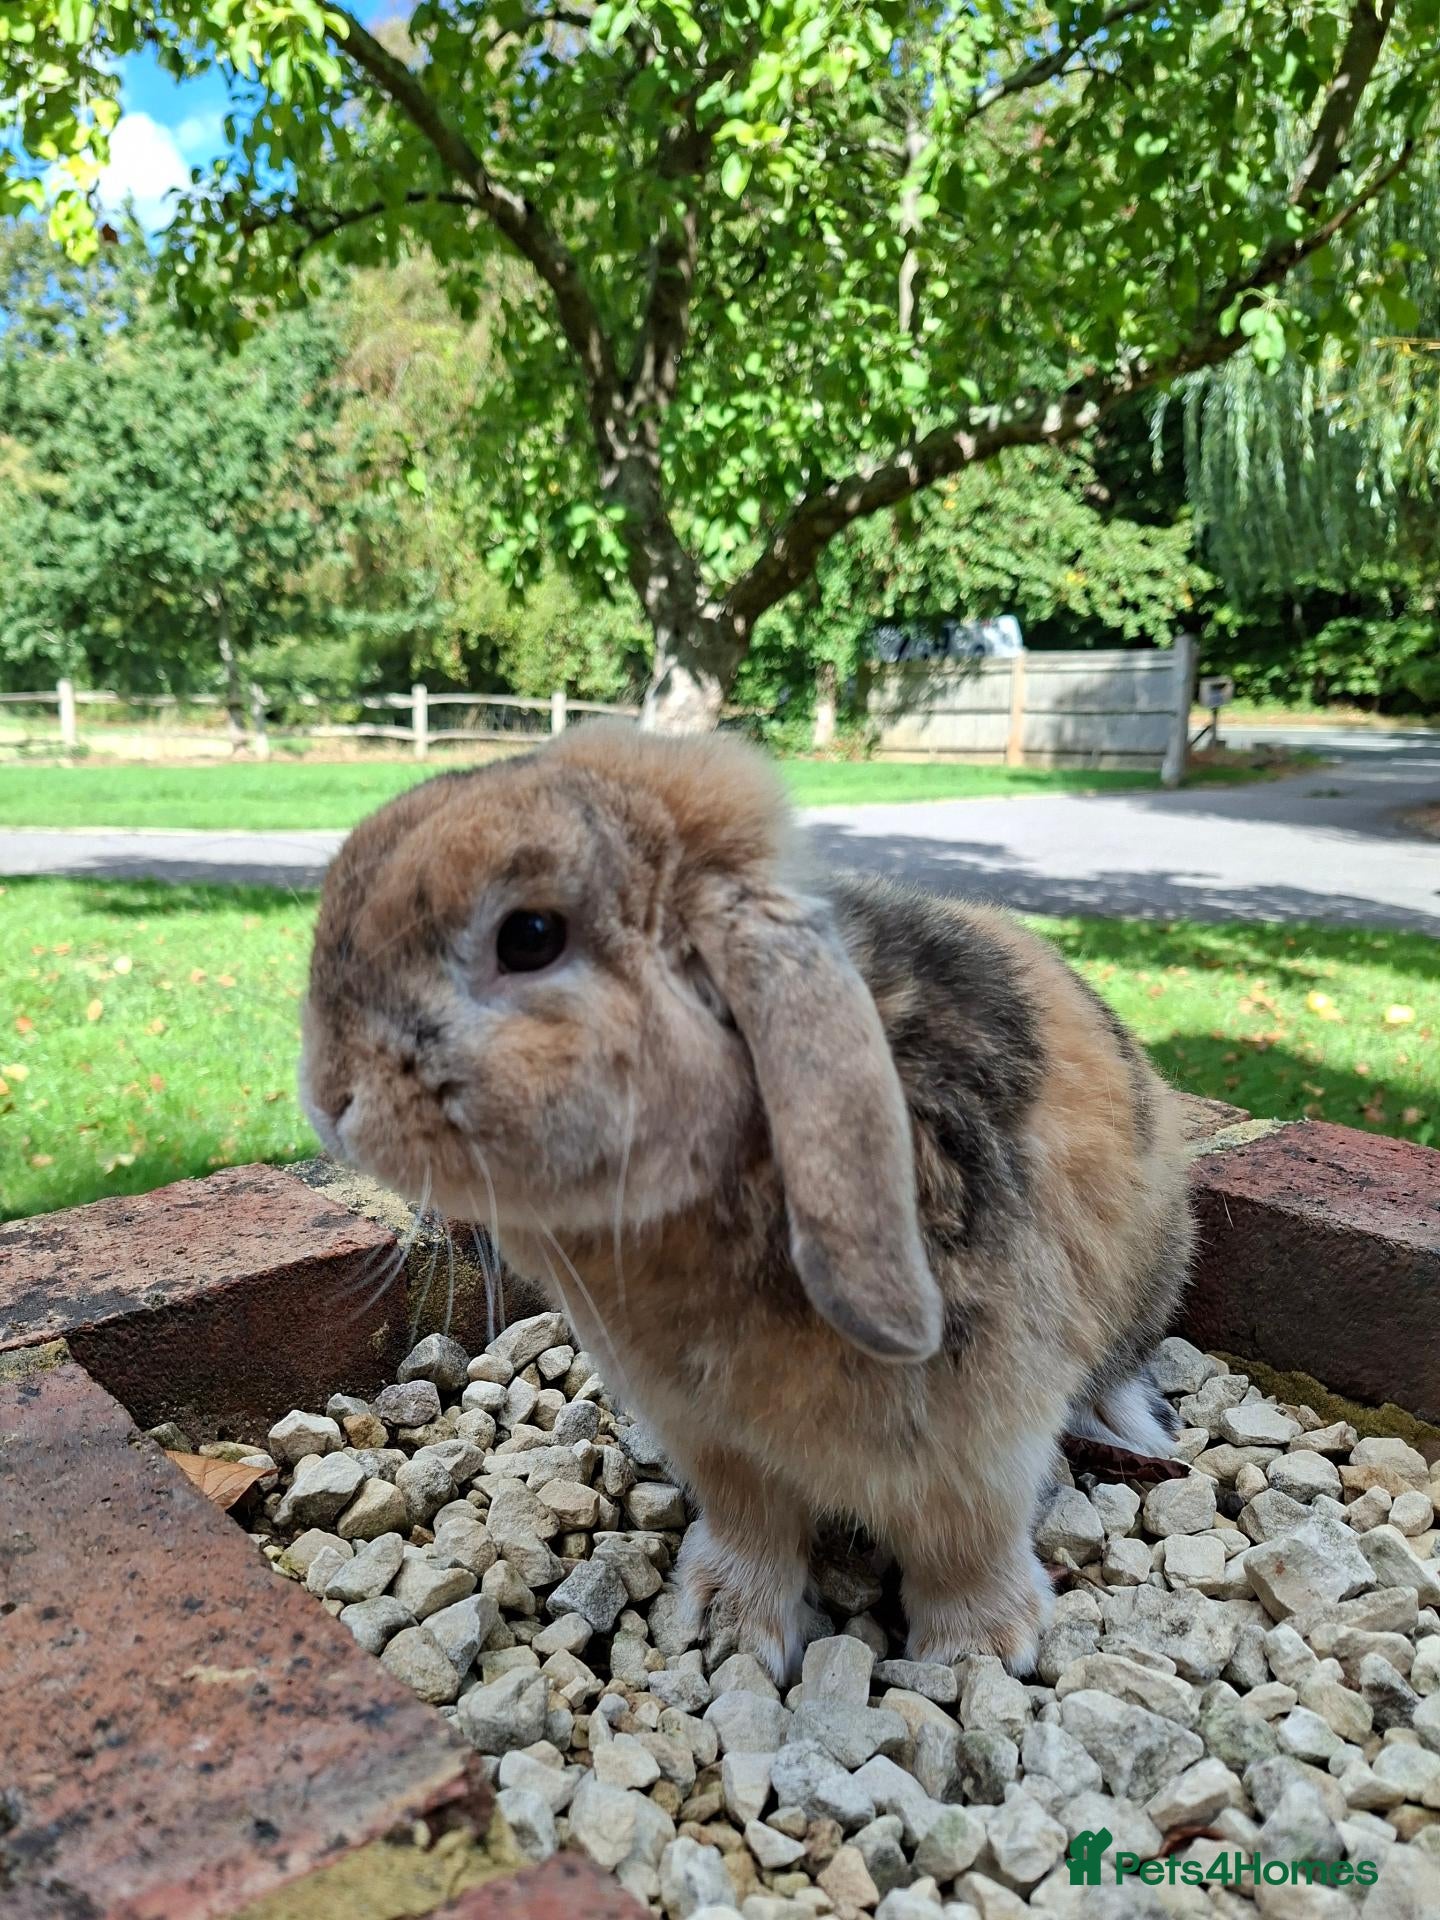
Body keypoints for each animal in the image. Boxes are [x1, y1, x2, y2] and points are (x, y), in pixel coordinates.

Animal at [301, 722, 1193, 1682]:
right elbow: (754, 1530)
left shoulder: (983, 1439)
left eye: (530, 936)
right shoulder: (715, 1442)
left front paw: (977, 1651)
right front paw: (727, 1625)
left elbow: (966, 1543)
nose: (328, 1097)